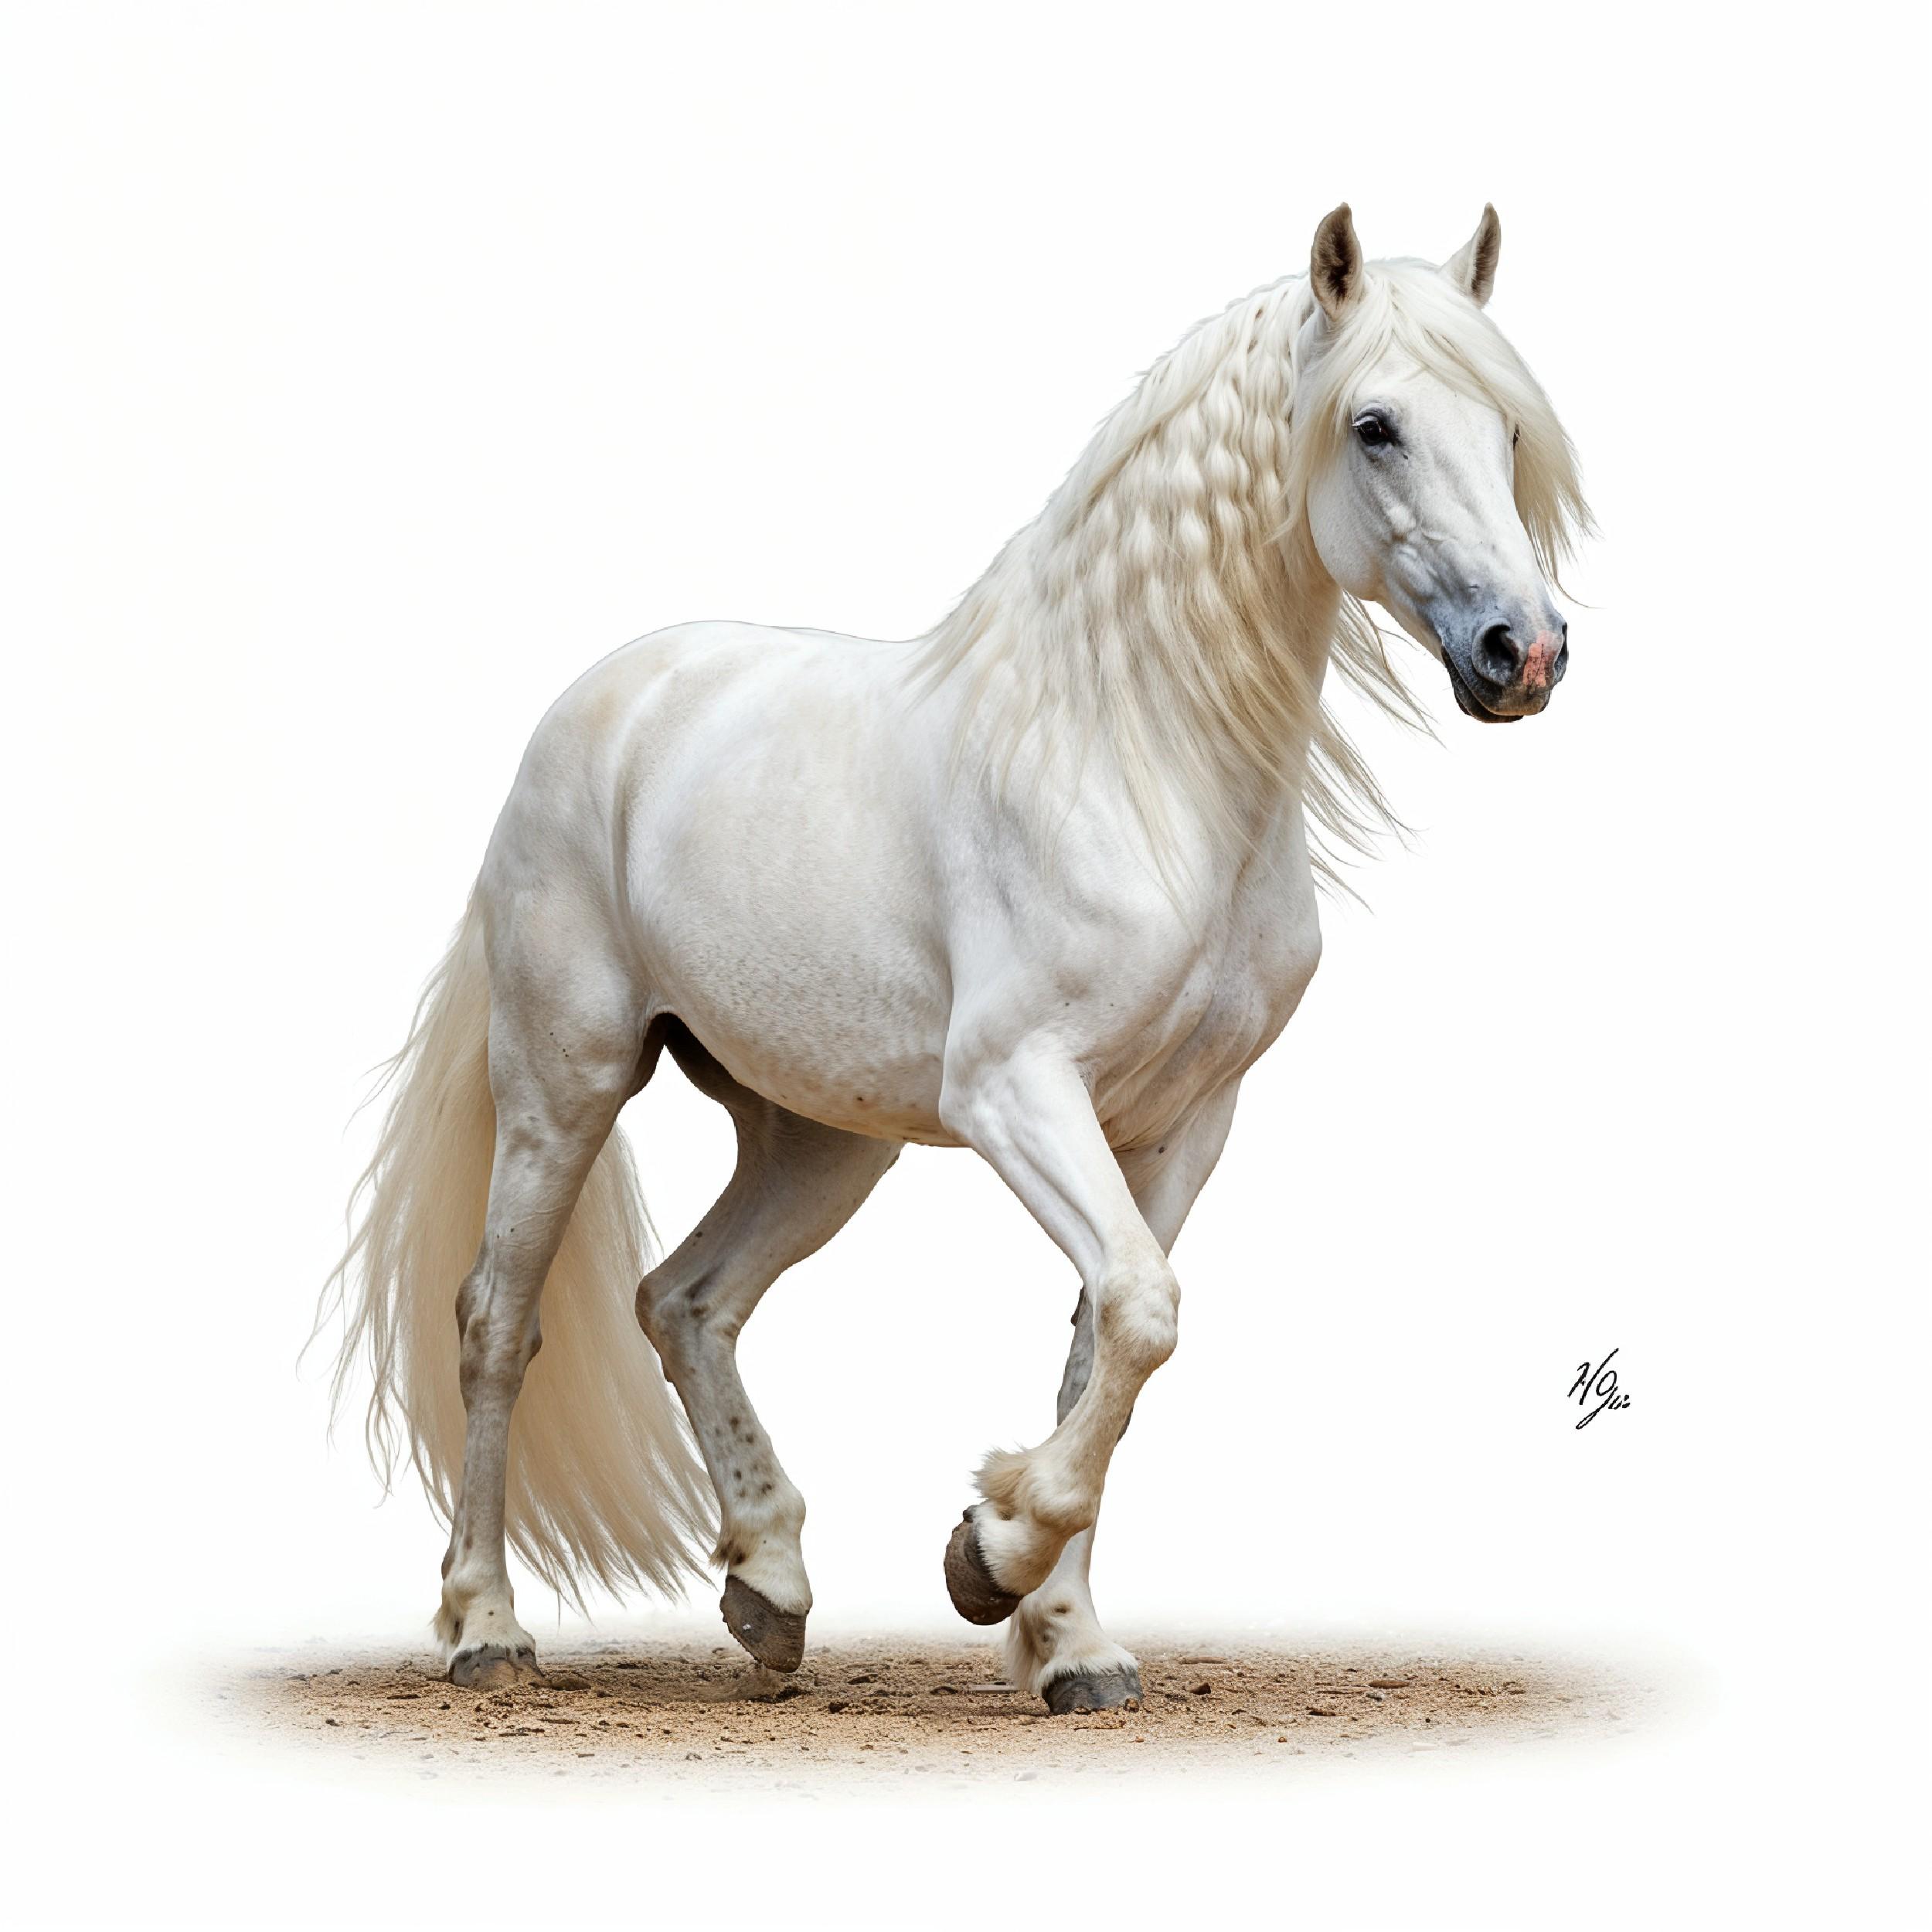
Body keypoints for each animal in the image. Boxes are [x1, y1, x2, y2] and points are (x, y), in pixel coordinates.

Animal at [324, 204, 1590, 1714]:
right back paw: (486, 1626)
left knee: (685, 1300)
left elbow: (1106, 1346)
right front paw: (987, 1555)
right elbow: (1146, 1314)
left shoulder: (1184, 1125)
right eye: (1377, 424)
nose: (1527, 653)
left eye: (1506, 429)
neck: (1133, 758)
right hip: (563, 1084)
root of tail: (601, 705)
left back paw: (770, 1592)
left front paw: (1071, 1646)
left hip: (822, 1138)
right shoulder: (1014, 1091)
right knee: (494, 1322)